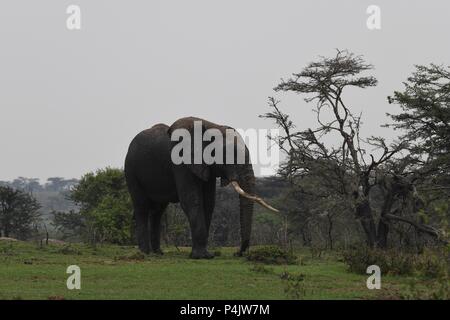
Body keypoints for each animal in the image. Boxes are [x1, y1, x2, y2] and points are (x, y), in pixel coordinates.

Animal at [124, 116, 278, 258]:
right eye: (230, 155)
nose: (238, 253)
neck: (211, 127)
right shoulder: (181, 162)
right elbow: (192, 200)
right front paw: (201, 256)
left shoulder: (208, 168)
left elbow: (209, 203)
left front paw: (205, 255)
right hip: (131, 170)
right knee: (142, 207)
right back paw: (145, 253)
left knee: (158, 211)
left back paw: (158, 253)